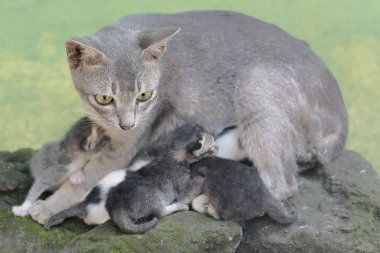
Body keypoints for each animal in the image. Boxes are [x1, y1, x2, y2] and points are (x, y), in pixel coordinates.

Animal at [44, 123, 217, 232]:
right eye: (209, 139)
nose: (215, 137)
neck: (170, 155)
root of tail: (116, 208)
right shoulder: (182, 185)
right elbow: (188, 190)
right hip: (154, 197)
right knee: (159, 212)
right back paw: (178, 207)